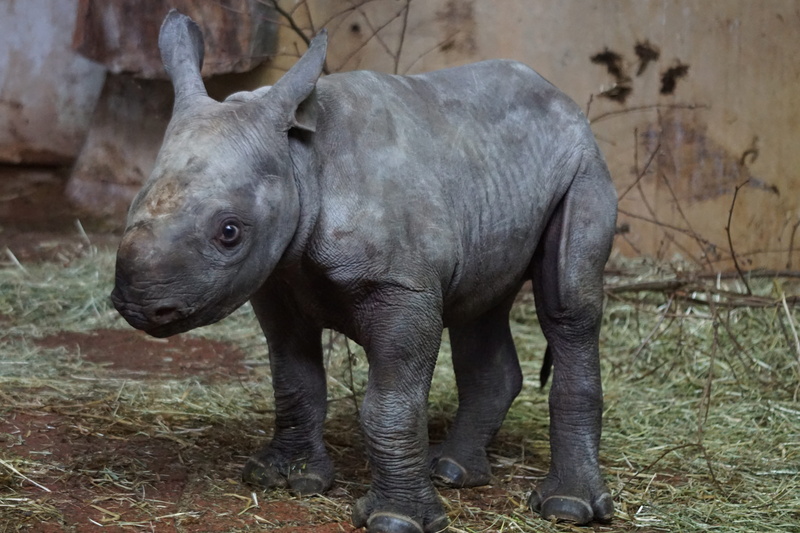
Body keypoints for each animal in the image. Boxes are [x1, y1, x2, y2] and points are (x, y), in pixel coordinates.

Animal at [111, 10, 617, 533]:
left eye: (229, 232)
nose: (138, 306)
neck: (299, 160)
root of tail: (562, 97)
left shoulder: (402, 288)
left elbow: (390, 404)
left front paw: (396, 520)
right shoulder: (277, 279)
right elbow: (293, 380)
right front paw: (286, 478)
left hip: (583, 164)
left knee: (568, 307)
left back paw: (566, 507)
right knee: (480, 303)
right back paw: (451, 471)